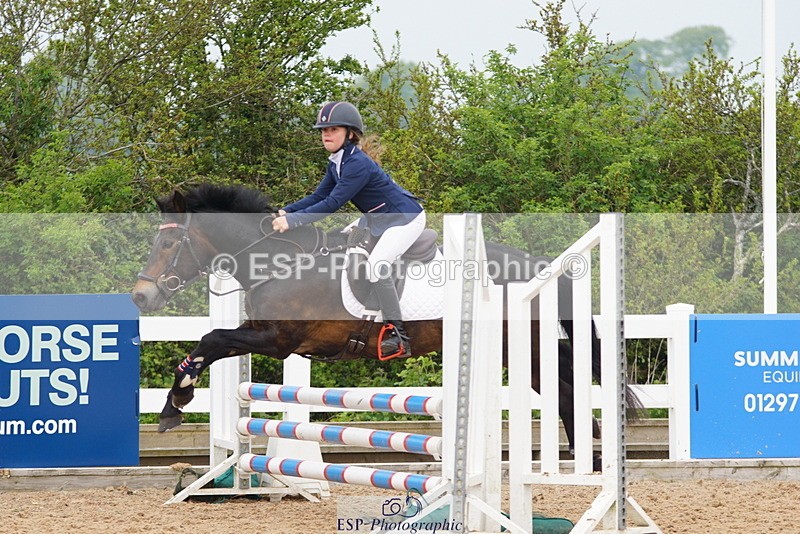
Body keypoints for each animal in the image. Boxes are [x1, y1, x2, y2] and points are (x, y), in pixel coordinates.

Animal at [131, 184, 639, 465]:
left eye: (168, 246)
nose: (141, 296)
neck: (277, 263)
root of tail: (537, 267)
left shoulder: (277, 340)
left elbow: (211, 338)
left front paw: (175, 403)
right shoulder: (262, 335)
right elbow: (211, 343)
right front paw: (175, 402)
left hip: (523, 348)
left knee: (567, 390)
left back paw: (588, 460)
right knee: (568, 386)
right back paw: (587, 453)